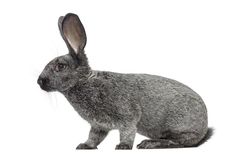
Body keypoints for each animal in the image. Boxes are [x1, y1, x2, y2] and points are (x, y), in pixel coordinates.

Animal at [37, 13, 212, 149]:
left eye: (60, 66)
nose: (39, 81)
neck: (85, 81)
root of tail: (204, 127)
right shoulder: (98, 126)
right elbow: (94, 137)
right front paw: (85, 146)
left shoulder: (127, 115)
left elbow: (128, 131)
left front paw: (123, 146)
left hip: (179, 125)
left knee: (180, 141)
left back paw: (150, 143)